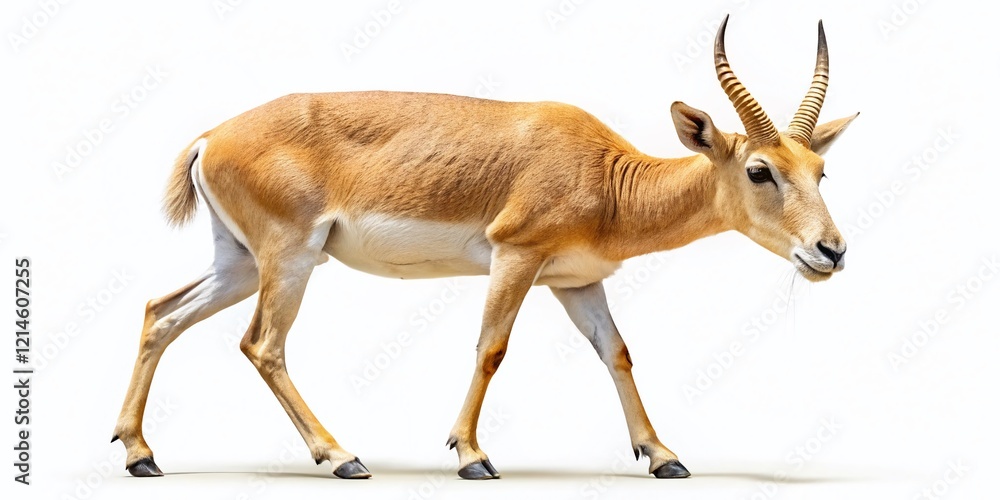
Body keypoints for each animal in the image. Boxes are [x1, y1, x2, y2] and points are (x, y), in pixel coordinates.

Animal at [112, 16, 856, 480]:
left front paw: (663, 455)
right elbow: (492, 347)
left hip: (239, 263)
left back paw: (140, 454)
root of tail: (212, 134)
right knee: (262, 343)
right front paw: (471, 455)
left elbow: (616, 352)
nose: (831, 253)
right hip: (290, 259)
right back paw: (344, 456)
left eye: (821, 170)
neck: (609, 177)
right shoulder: (514, 257)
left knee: (161, 313)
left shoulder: (576, 281)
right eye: (760, 170)